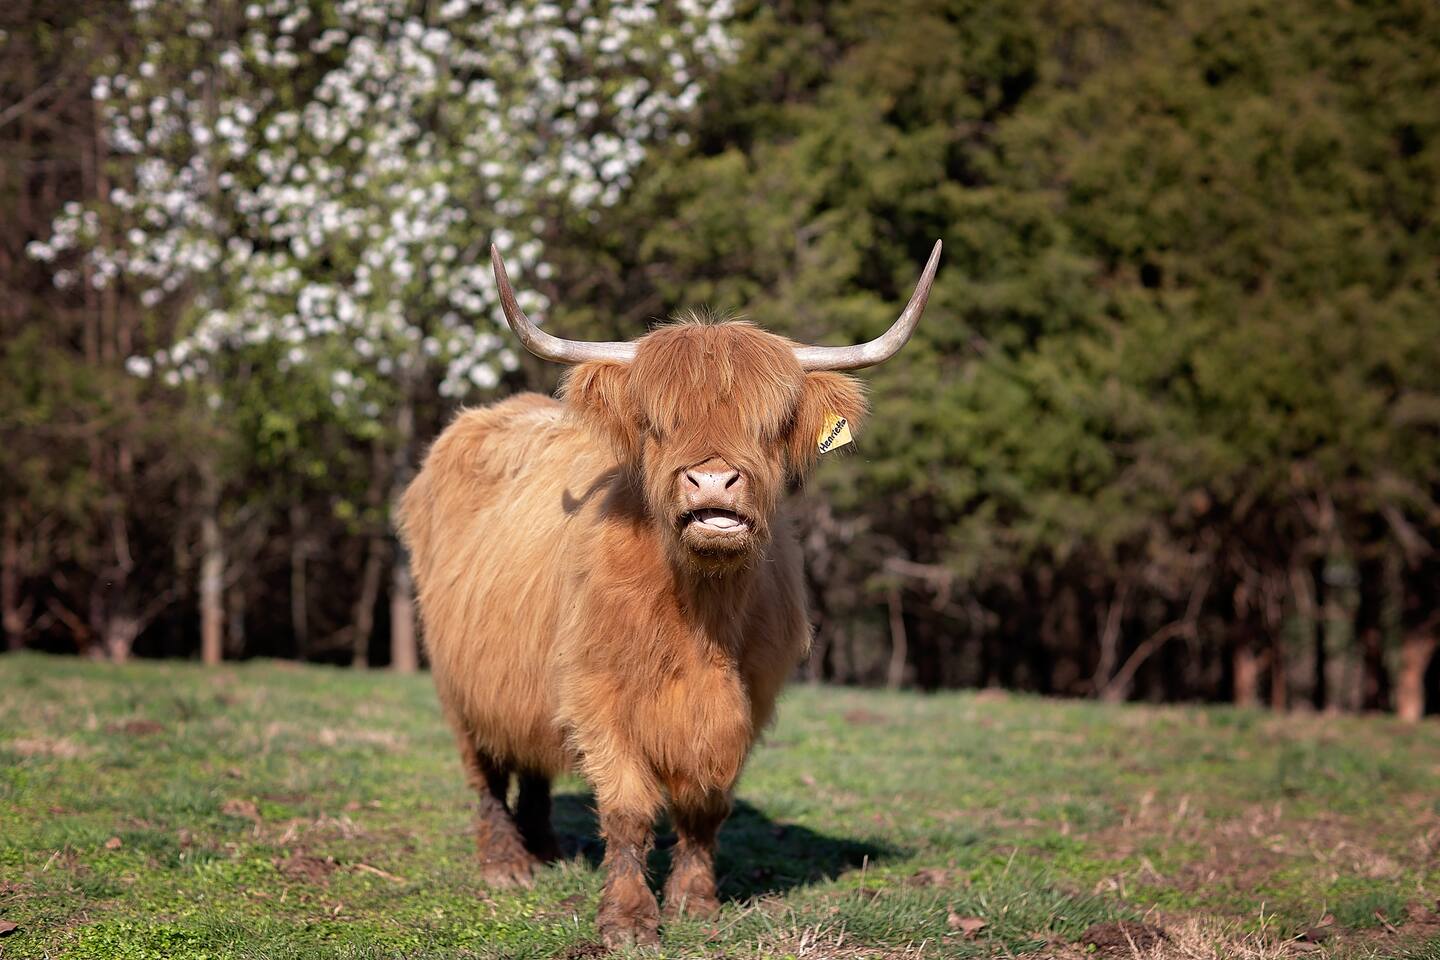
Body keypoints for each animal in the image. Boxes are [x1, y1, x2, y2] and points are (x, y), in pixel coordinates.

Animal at [396, 241, 940, 948]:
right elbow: (628, 809)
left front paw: (695, 902)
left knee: (534, 760)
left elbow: (707, 806)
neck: (699, 616)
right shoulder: (597, 691)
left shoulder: (746, 701)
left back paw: (545, 849)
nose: (711, 482)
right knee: (486, 769)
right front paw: (629, 921)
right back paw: (505, 866)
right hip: (460, 677)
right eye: (657, 424)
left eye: (773, 424)